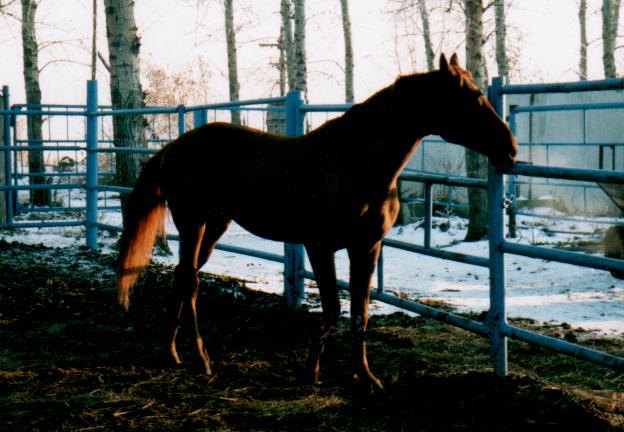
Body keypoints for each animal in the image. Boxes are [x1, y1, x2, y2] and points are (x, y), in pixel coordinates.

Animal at [117, 54, 516, 392]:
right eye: (473, 97)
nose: (510, 149)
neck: (356, 163)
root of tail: (174, 147)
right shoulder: (320, 247)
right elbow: (332, 309)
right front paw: (311, 372)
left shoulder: (366, 248)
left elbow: (360, 313)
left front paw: (366, 377)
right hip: (194, 223)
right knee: (190, 282)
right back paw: (199, 359)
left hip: (214, 226)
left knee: (183, 278)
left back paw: (173, 353)